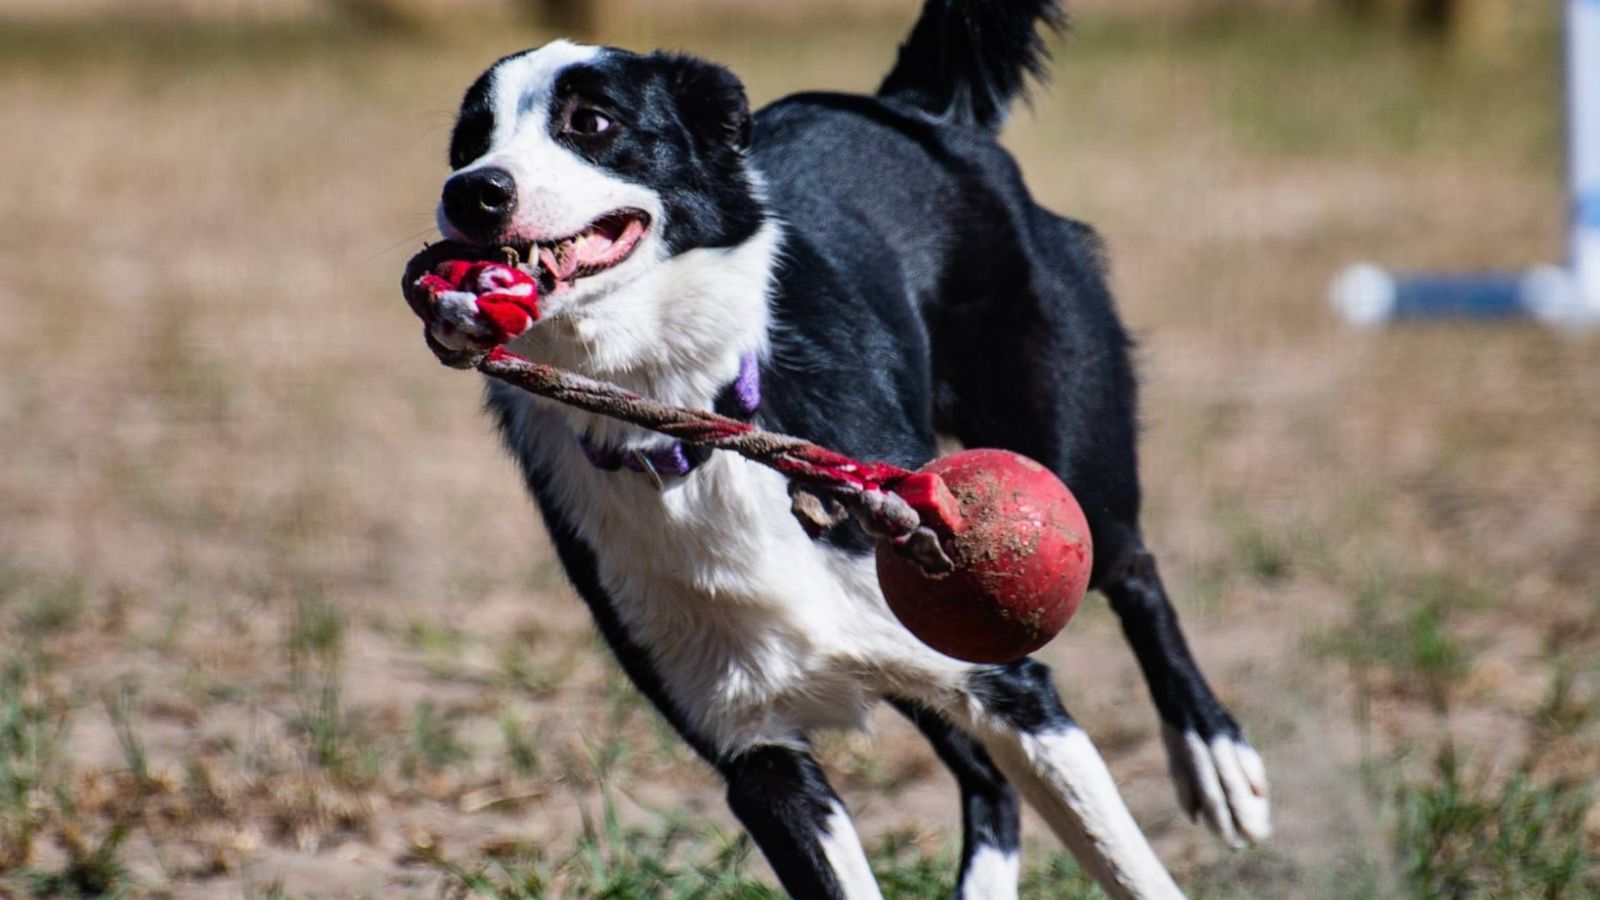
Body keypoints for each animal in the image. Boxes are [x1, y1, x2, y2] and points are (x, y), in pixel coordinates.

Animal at [409, 3, 1260, 890]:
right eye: (468, 142)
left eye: (592, 122)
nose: (472, 192)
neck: (685, 426)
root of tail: (909, 108)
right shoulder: (758, 759)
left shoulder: (1012, 686)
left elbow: (1130, 868)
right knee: (988, 781)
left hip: (1067, 448)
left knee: (1134, 569)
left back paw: (1215, 756)